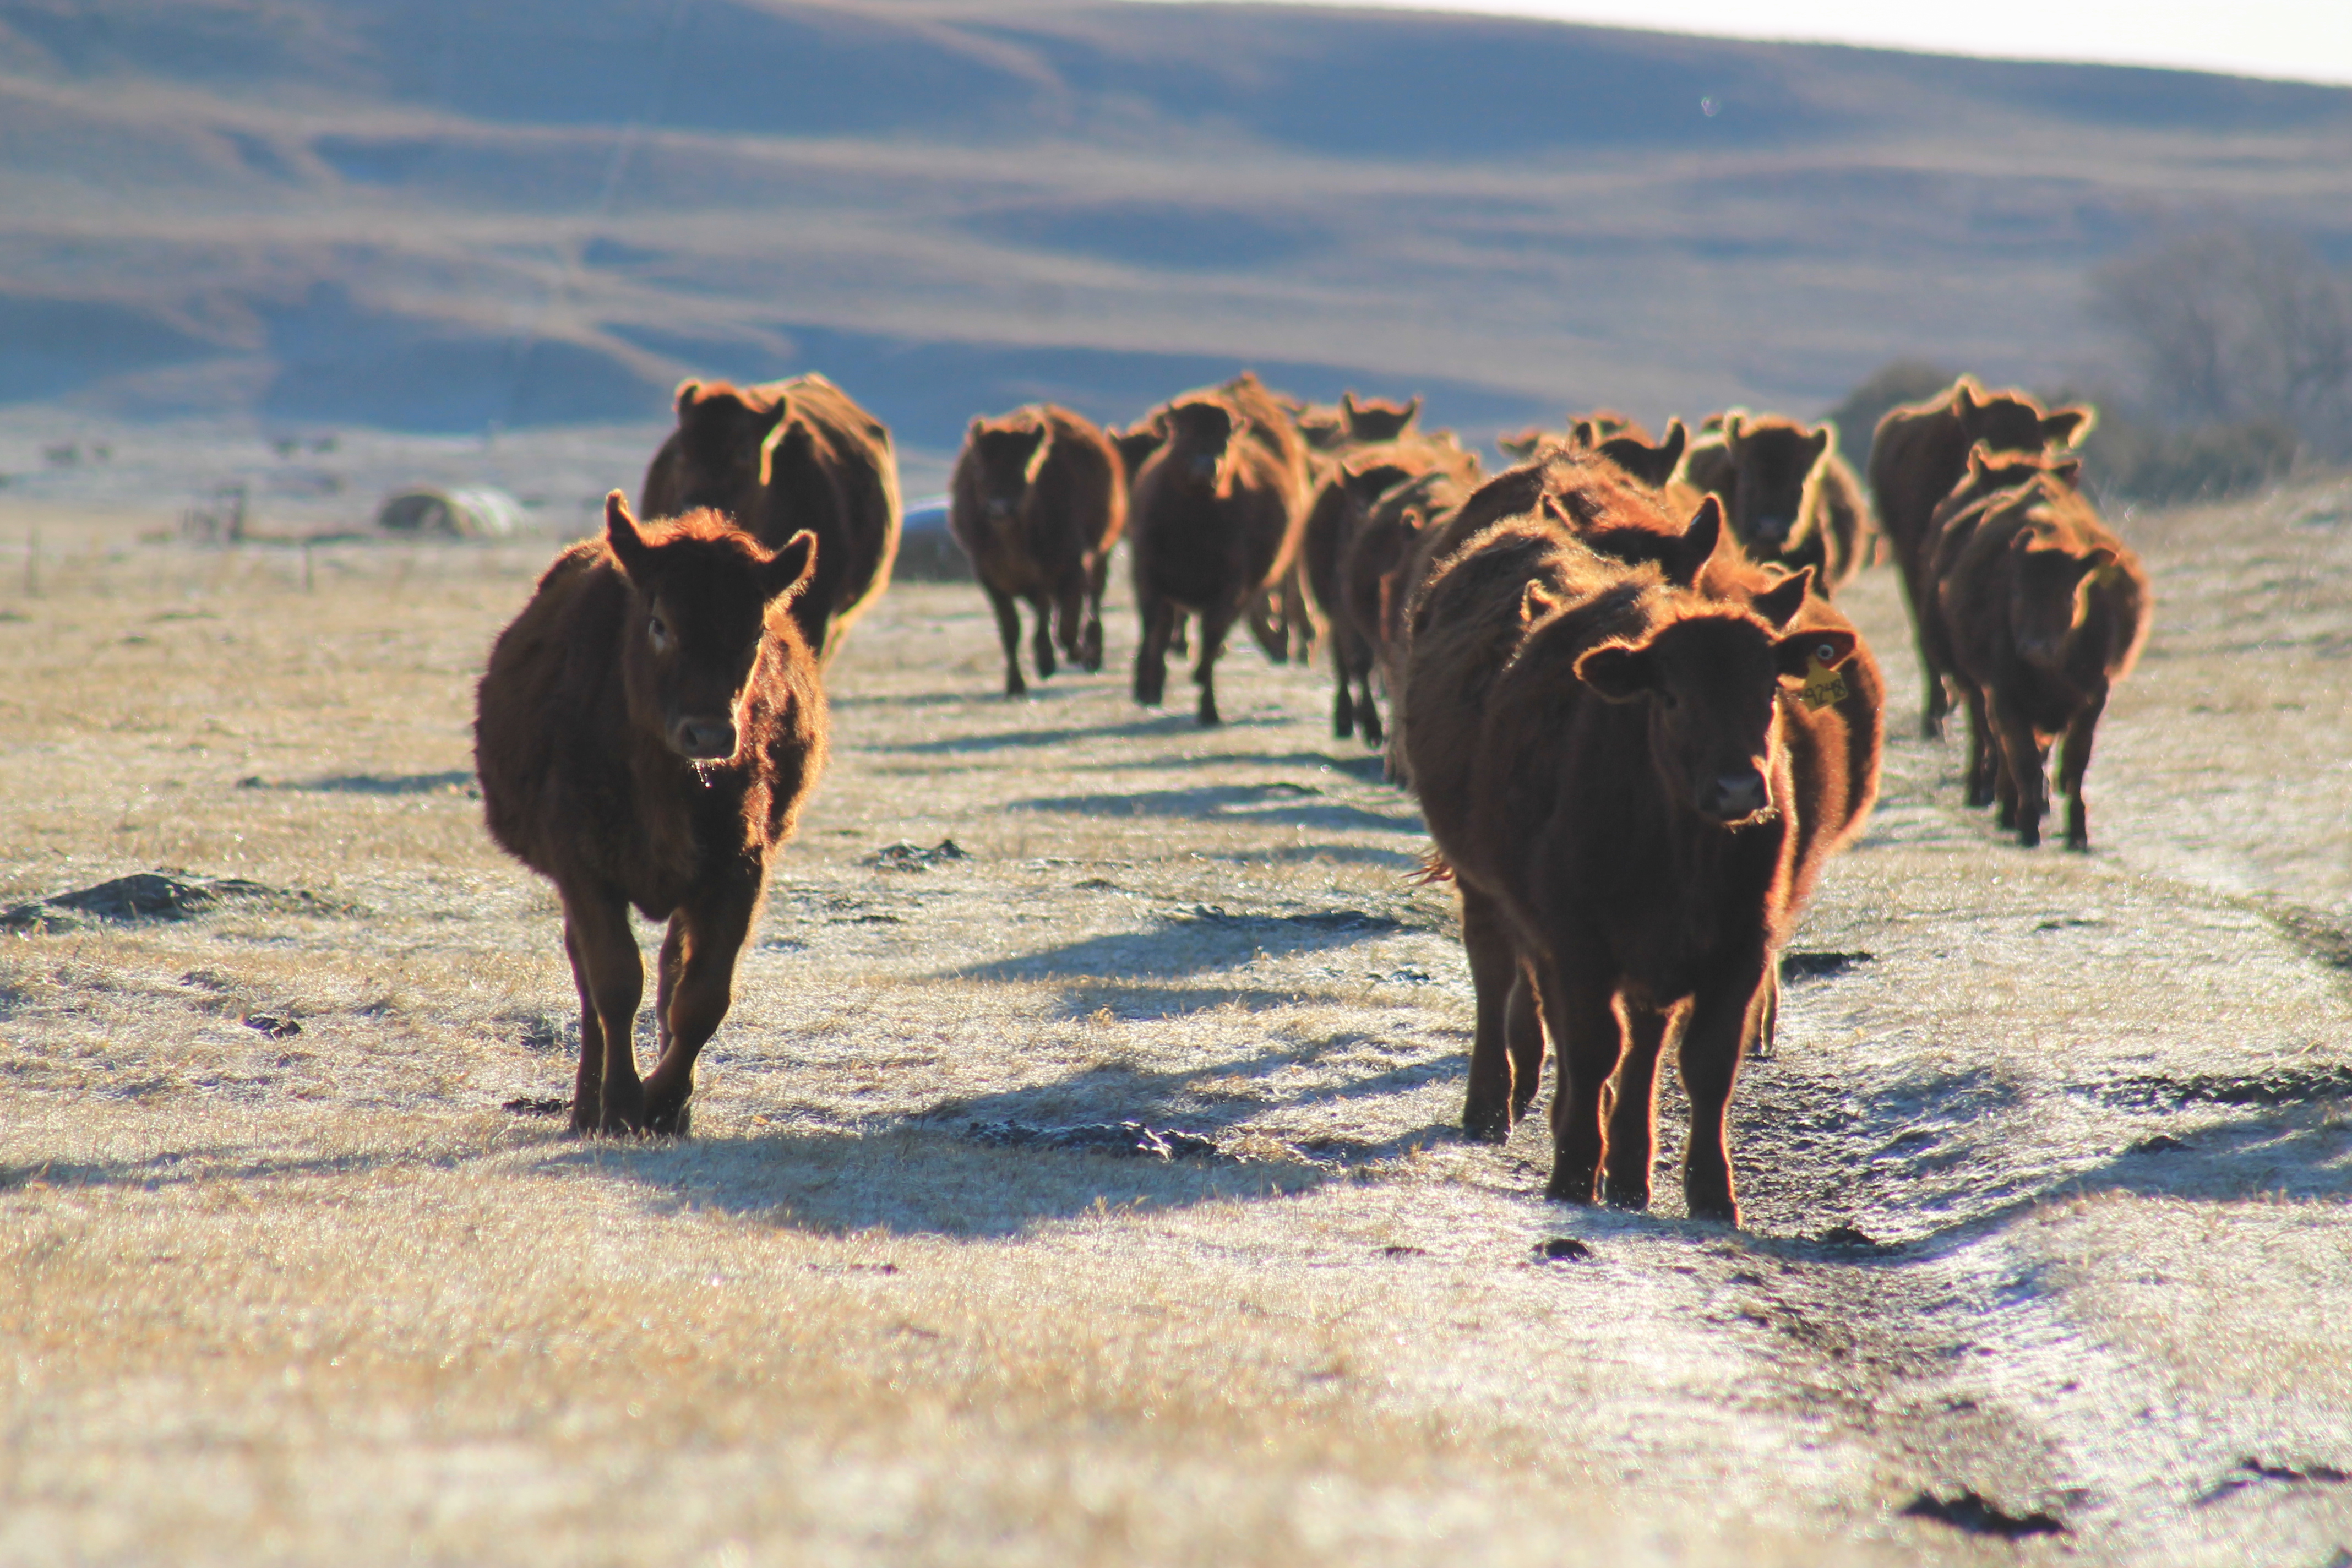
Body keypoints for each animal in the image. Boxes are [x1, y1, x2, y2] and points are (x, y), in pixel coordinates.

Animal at [475, 494, 827, 1136]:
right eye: (660, 624)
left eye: (756, 631)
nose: (708, 733)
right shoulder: (583, 868)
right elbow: (615, 984)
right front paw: (619, 1104)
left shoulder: (739, 869)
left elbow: (701, 995)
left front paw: (664, 1102)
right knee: (590, 982)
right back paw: (587, 1107)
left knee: (671, 972)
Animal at [948, 405, 1127, 696]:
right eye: (978, 467)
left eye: (1024, 466)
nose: (999, 508)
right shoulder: (993, 583)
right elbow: (1011, 630)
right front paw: (1015, 685)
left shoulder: (1073, 571)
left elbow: (1067, 629)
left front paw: (1079, 654)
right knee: (1047, 609)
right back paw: (1045, 660)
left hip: (1102, 556)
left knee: (1093, 601)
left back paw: (1089, 655)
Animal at [1128, 392, 1305, 724]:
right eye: (1183, 432)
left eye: (1226, 437)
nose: (1206, 466)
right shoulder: (1149, 577)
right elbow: (1155, 630)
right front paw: (1147, 687)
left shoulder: (1231, 589)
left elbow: (1210, 640)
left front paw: (1207, 705)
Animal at [1402, 472, 1879, 1225]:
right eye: (1674, 697)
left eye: (1770, 691)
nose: (1739, 787)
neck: (1683, 851)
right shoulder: (1579, 940)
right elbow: (1594, 1046)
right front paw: (1573, 1172)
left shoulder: (1739, 945)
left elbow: (1703, 1063)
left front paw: (1709, 1193)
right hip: (1488, 893)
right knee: (1497, 972)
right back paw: (1492, 1105)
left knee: (1642, 1035)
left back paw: (1626, 1166)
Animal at [1933, 470, 2149, 850]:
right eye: (2017, 592)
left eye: (2070, 593)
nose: (2035, 647)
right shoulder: (2005, 698)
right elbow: (2024, 762)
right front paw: (2028, 825)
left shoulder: (2092, 700)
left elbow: (2074, 765)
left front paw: (2078, 833)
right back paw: (2008, 808)